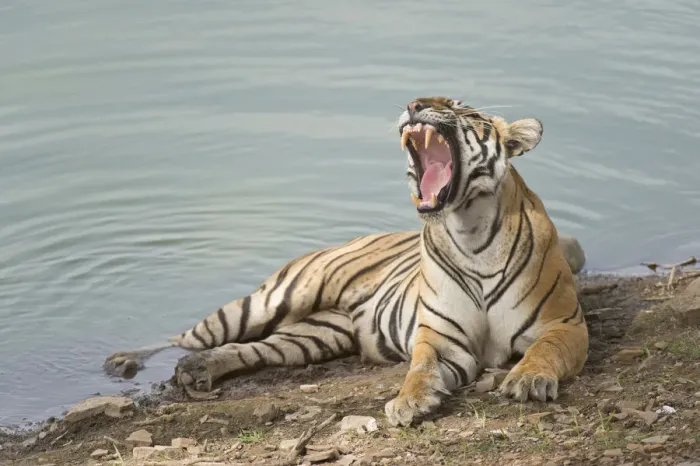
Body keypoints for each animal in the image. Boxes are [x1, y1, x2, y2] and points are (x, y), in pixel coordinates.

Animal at [104, 96, 589, 427]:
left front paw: (527, 380)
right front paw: (409, 401)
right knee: (187, 336)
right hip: (270, 301)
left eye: (460, 108)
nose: (414, 104)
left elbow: (543, 351)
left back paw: (197, 370)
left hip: (312, 335)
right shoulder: (440, 337)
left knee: (251, 348)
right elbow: (420, 368)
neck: (469, 231)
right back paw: (125, 360)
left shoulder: (563, 323)